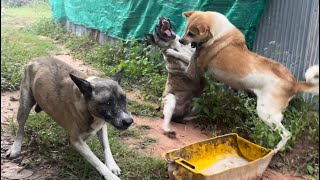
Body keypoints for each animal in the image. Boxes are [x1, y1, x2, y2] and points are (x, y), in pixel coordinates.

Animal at [6, 57, 134, 179]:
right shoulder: (77, 141)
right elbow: (96, 161)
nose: (129, 121)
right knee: (20, 128)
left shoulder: (101, 126)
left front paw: (112, 165)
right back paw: (16, 147)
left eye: (124, 99)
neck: (85, 101)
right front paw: (110, 176)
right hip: (24, 106)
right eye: (107, 103)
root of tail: (35, 59)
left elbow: (106, 146)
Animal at [179, 10, 318, 153]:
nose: (180, 40)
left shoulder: (199, 64)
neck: (219, 33)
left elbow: (191, 66)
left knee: (286, 134)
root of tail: (294, 84)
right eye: (185, 30)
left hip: (266, 113)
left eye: (191, 33)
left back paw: (275, 149)